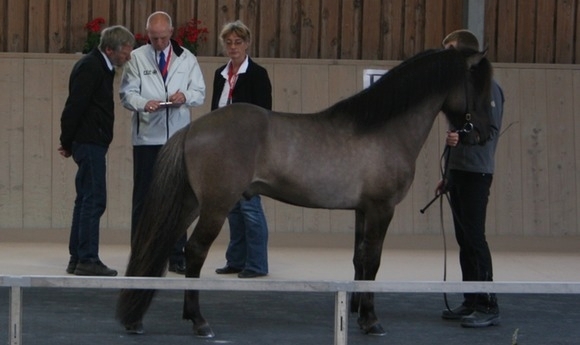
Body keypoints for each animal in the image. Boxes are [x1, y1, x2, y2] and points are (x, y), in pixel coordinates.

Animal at [116, 47, 494, 336]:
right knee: (195, 251)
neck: (383, 129)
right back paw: (199, 322)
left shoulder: (363, 211)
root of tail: (192, 130)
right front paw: (371, 320)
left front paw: (358, 311)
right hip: (215, 207)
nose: (484, 133)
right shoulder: (381, 209)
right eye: (479, 87)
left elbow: (360, 260)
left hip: (191, 203)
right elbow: (373, 260)